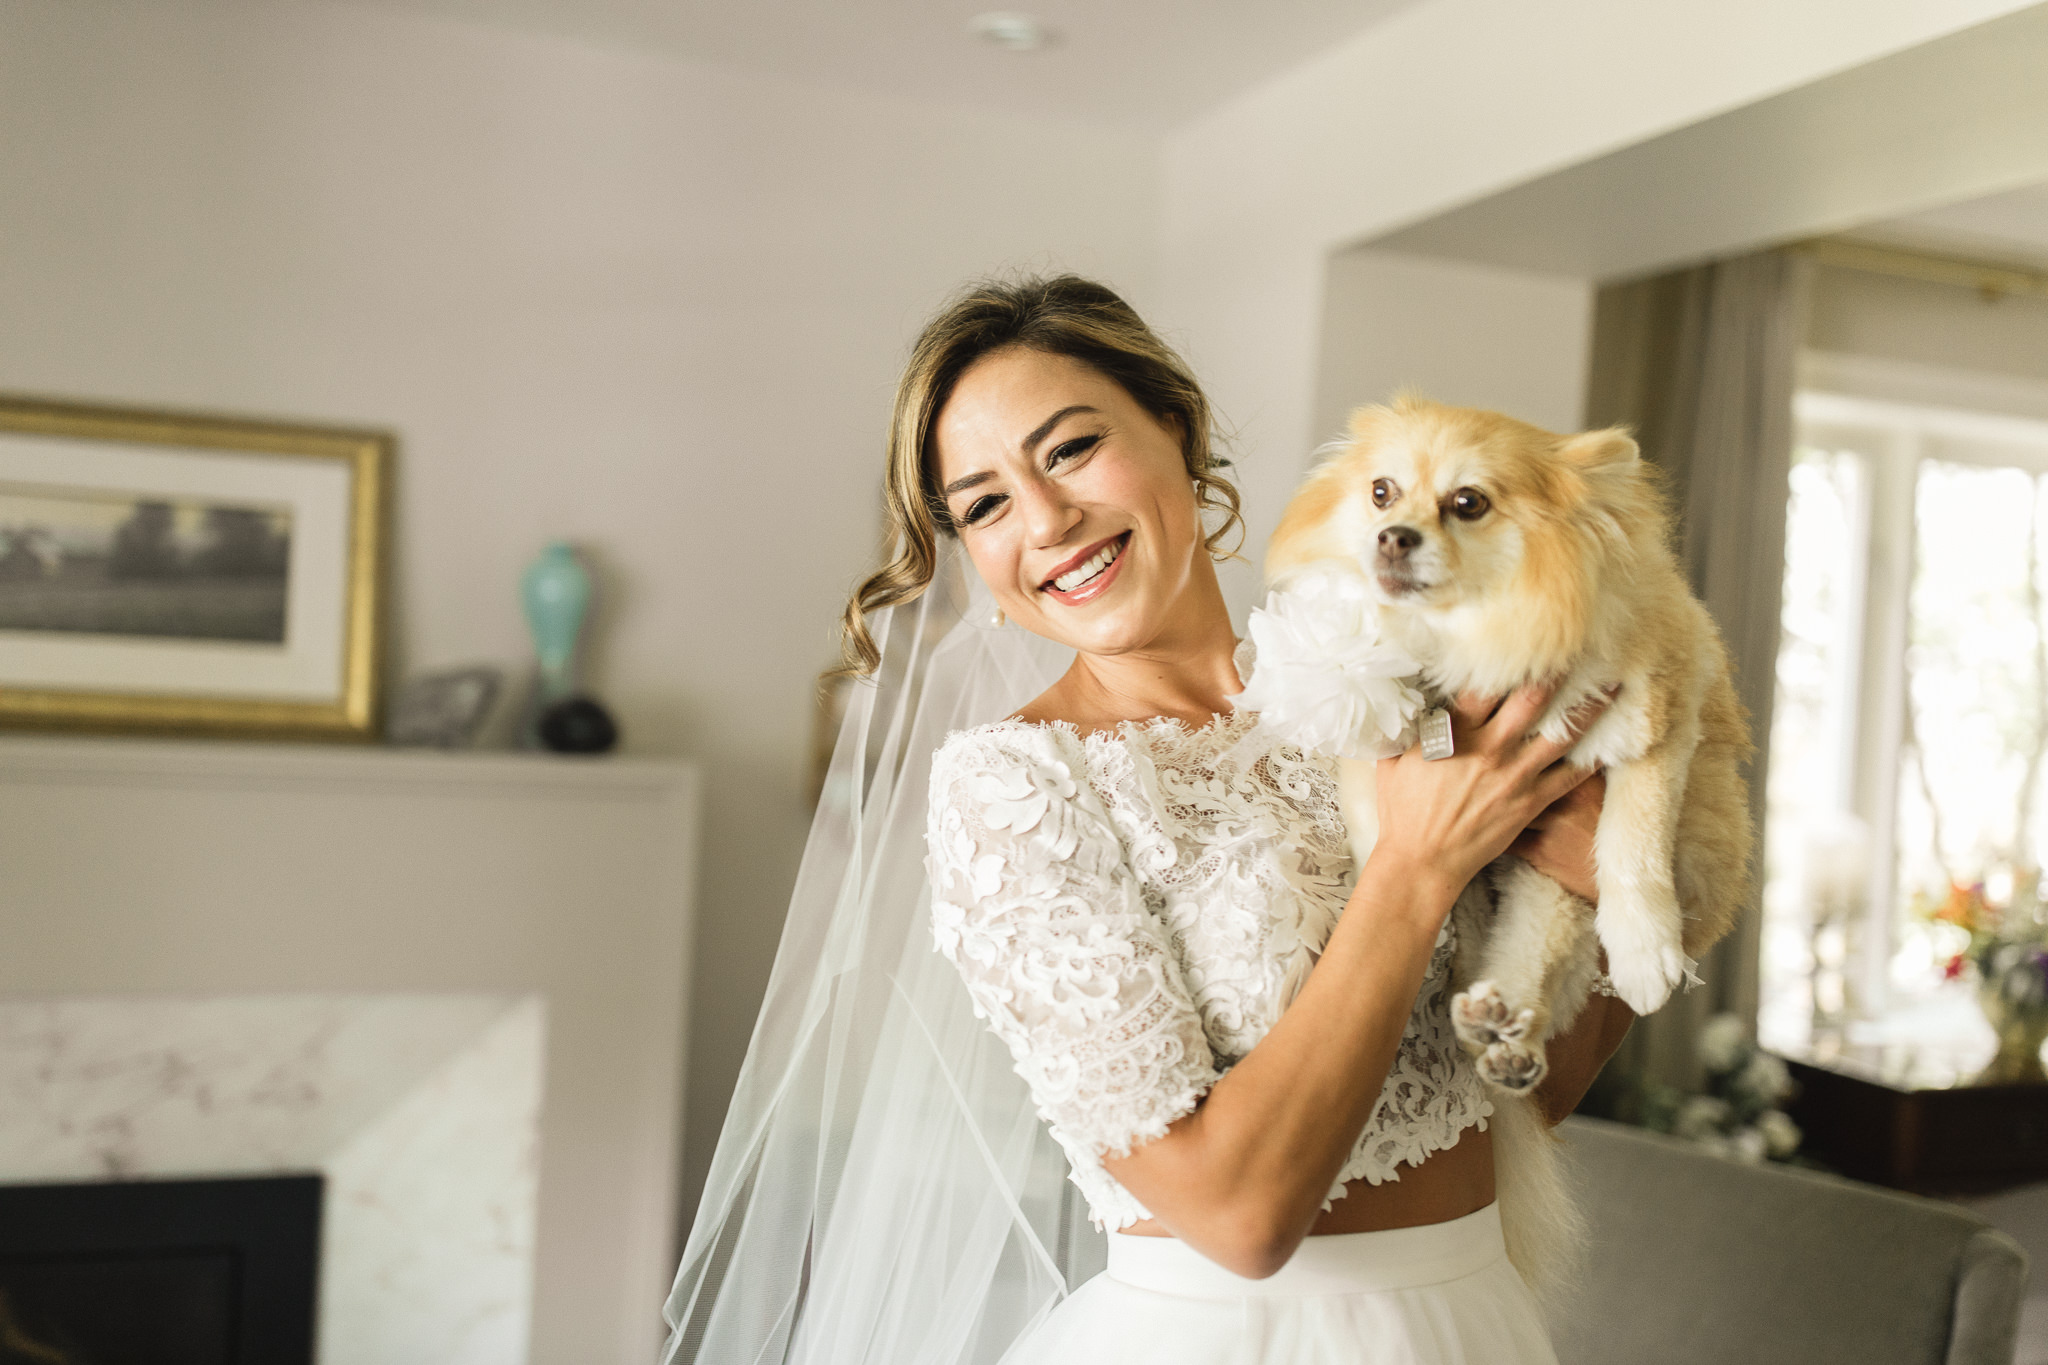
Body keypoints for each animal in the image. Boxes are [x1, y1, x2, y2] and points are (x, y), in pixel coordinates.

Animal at [1253, 392, 1753, 1088]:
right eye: (1382, 492)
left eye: (1468, 502)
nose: (1393, 535)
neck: (1475, 636)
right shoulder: (1369, 761)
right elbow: (1377, 831)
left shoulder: (1654, 723)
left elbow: (1633, 844)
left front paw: (1646, 950)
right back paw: (1489, 1025)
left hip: (1561, 884)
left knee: (1548, 956)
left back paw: (1508, 1033)